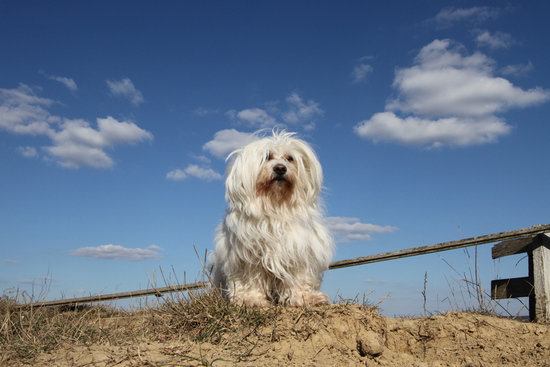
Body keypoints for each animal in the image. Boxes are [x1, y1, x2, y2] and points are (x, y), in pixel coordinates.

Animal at [209, 131, 334, 306]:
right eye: (267, 157)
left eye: (289, 158)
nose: (280, 168)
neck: (275, 206)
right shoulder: (246, 256)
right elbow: (249, 279)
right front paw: (250, 298)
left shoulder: (299, 250)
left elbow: (299, 277)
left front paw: (304, 297)